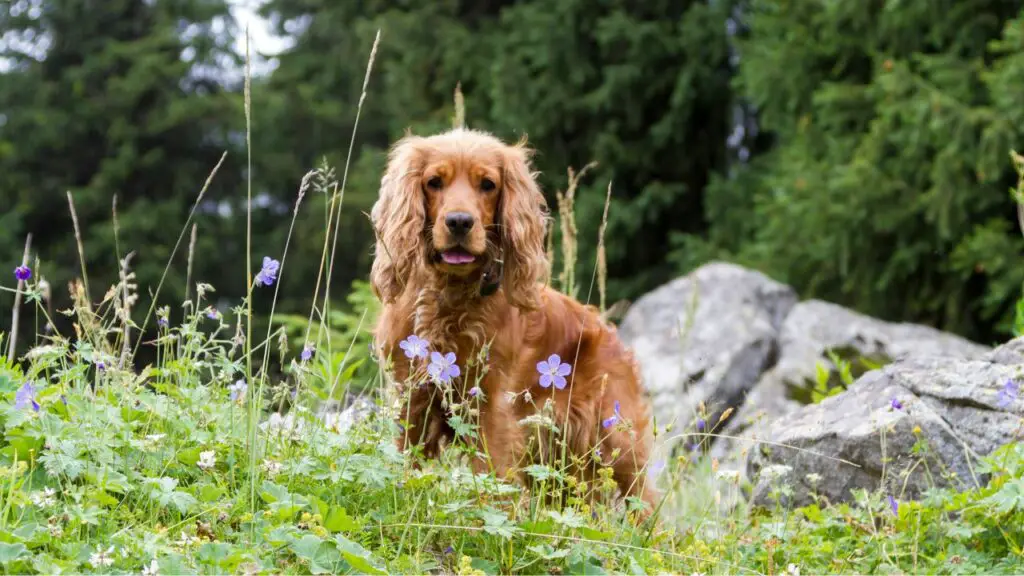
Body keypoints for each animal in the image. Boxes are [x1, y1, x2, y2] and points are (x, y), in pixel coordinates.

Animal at [368, 127, 655, 512]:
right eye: (433, 182)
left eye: (488, 184)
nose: (459, 222)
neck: (451, 296)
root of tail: (611, 334)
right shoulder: (411, 398)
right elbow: (405, 463)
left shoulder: (493, 409)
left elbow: (490, 480)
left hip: (615, 439)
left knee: (646, 501)